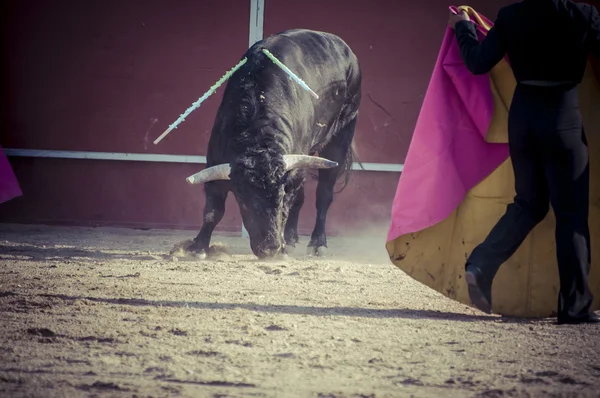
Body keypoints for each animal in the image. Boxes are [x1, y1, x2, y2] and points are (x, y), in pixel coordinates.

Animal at [185, 28, 360, 258]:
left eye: (279, 196)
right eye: (243, 200)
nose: (270, 248)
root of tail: (348, 51)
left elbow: (287, 207)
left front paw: (283, 248)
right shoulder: (214, 163)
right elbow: (213, 211)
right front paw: (198, 247)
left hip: (342, 134)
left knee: (324, 194)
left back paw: (317, 243)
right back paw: (292, 238)